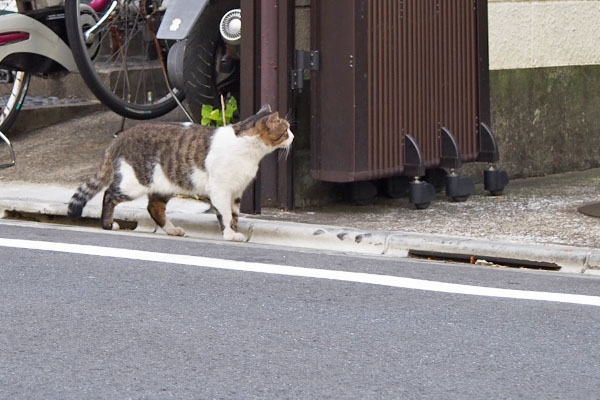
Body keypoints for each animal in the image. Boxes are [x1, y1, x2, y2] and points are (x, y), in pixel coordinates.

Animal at [68, 104, 292, 241]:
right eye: (286, 130)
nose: (294, 136)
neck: (250, 150)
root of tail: (119, 138)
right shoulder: (221, 190)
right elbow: (226, 215)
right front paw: (229, 234)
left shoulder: (236, 192)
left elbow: (235, 215)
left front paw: (235, 232)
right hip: (134, 182)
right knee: (109, 195)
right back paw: (108, 224)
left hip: (164, 186)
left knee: (154, 208)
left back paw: (172, 230)